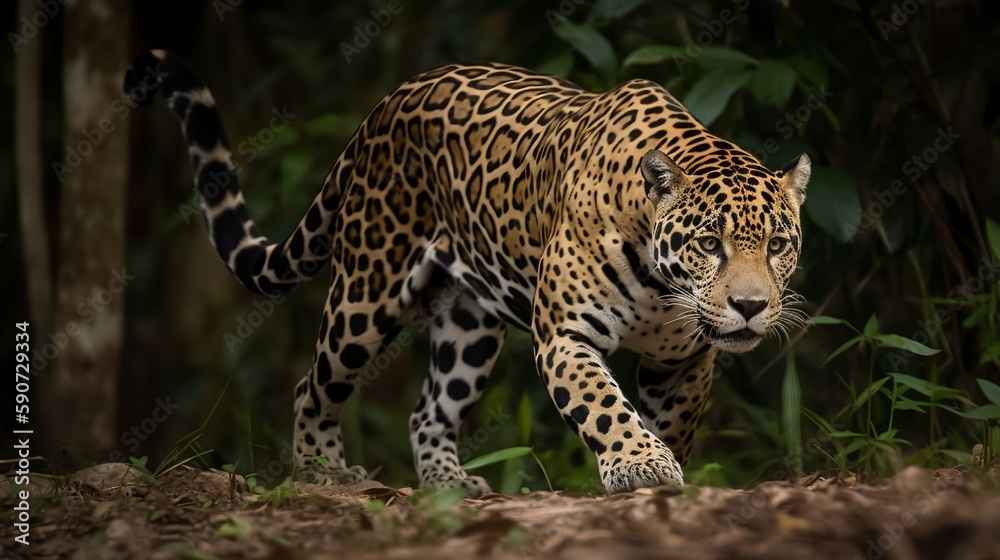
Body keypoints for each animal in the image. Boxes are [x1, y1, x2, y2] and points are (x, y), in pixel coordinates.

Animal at [124, 49, 810, 497]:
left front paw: (661, 464)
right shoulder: (565, 336)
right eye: (710, 244)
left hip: (467, 327)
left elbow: (673, 420)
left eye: (777, 245)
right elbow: (604, 405)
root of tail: (385, 104)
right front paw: (642, 465)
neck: (663, 285)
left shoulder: (684, 360)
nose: (750, 307)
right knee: (311, 385)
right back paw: (325, 471)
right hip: (364, 295)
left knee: (428, 410)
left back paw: (448, 483)